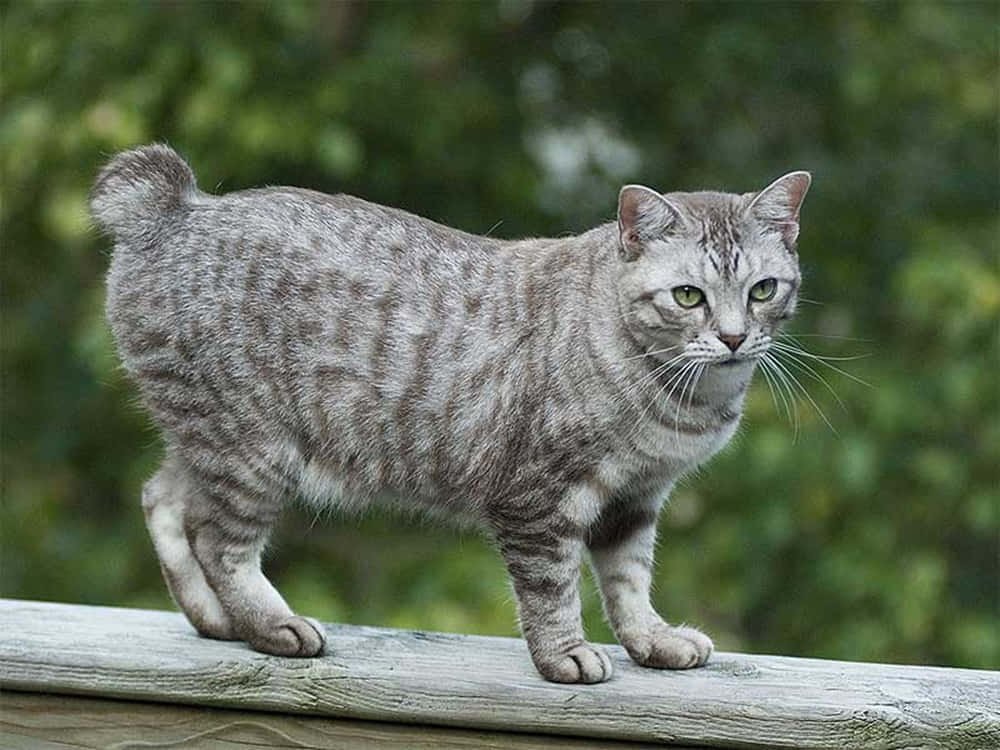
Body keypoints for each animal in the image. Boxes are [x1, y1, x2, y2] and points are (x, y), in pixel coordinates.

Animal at [90, 142, 812, 688]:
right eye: (688, 296)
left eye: (762, 290)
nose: (733, 337)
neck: (685, 398)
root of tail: (176, 208)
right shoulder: (538, 499)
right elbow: (552, 588)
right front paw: (565, 655)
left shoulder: (634, 499)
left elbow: (629, 583)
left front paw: (653, 641)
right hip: (251, 448)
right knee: (218, 540)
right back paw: (270, 625)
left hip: (206, 438)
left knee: (163, 499)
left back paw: (217, 620)